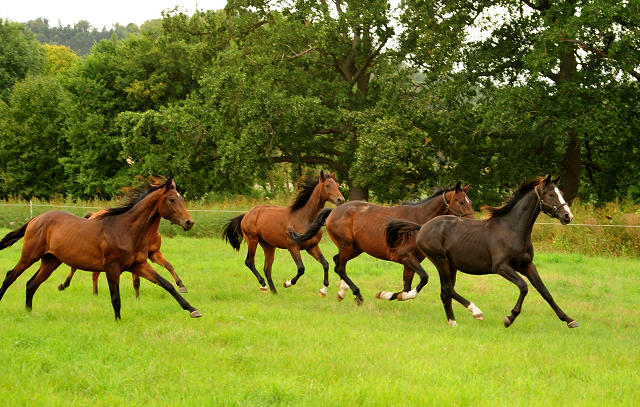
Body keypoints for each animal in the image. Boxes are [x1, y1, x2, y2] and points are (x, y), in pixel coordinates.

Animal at [56, 209, 188, 298]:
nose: (187, 222)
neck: (148, 231)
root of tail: (94, 214)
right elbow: (136, 281)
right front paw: (138, 299)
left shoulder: (154, 254)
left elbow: (169, 265)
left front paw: (181, 285)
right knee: (78, 268)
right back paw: (66, 285)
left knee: (93, 273)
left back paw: (94, 292)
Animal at [288, 183, 472, 304]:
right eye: (461, 202)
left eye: (468, 201)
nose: (472, 221)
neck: (418, 222)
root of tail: (334, 210)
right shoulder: (406, 257)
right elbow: (423, 279)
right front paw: (392, 295)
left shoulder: (411, 262)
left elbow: (407, 286)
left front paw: (387, 295)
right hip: (347, 246)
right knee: (340, 267)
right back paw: (357, 295)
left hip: (355, 248)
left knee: (336, 262)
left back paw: (342, 292)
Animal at [384, 174, 580, 330]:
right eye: (551, 194)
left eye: (561, 194)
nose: (568, 216)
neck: (512, 229)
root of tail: (423, 226)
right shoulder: (501, 267)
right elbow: (524, 287)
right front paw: (509, 318)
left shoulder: (526, 265)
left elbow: (545, 291)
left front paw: (569, 320)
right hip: (441, 261)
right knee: (447, 288)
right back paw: (472, 311)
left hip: (451, 265)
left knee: (446, 291)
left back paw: (452, 320)